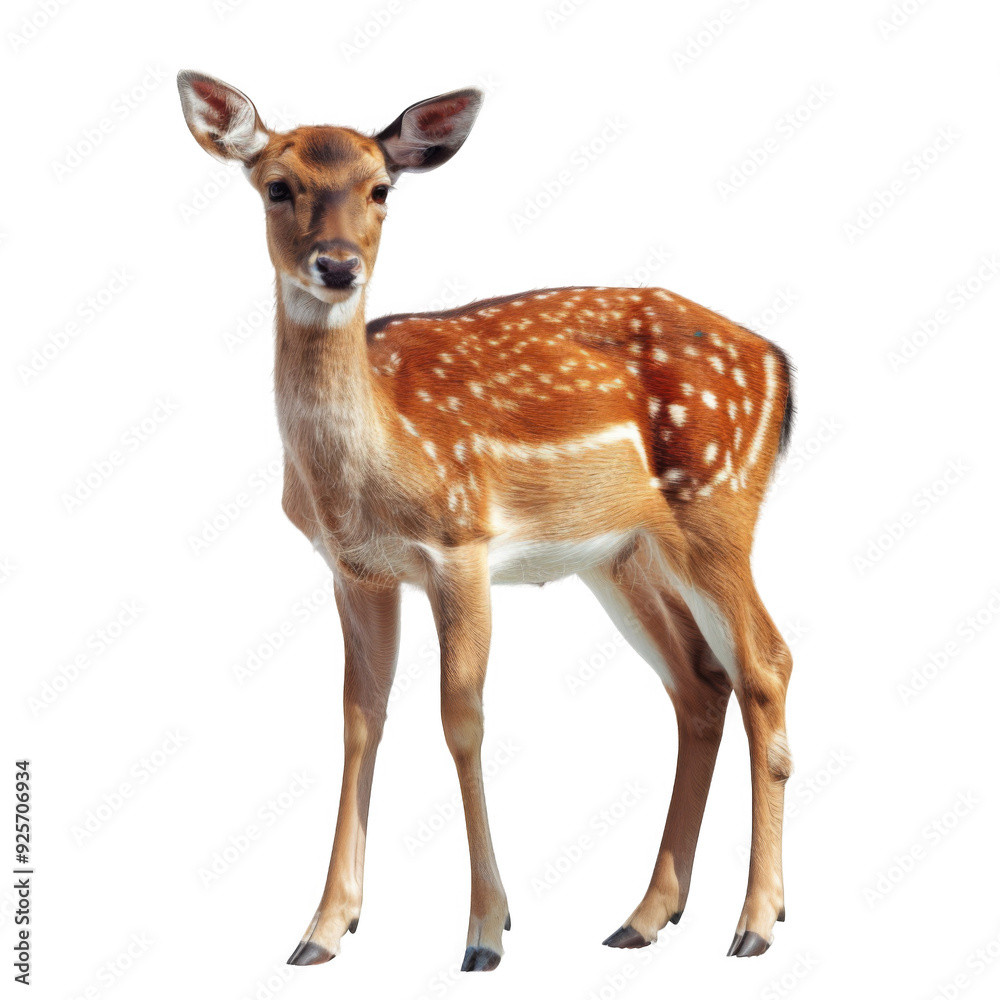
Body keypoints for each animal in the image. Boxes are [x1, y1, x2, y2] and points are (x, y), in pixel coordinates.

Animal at [177, 70, 796, 971]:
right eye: (277, 185)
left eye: (381, 189)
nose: (337, 265)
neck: (371, 463)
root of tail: (779, 365)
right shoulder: (356, 571)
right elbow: (359, 718)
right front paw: (322, 929)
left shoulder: (461, 542)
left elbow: (461, 718)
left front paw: (485, 932)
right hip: (623, 554)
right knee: (698, 681)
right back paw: (644, 916)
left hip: (718, 502)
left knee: (765, 666)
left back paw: (754, 921)